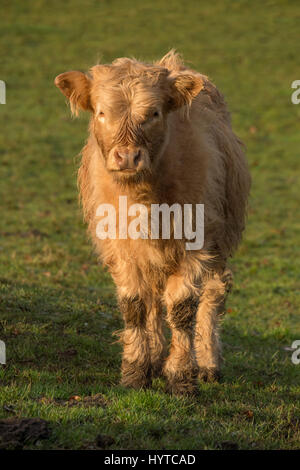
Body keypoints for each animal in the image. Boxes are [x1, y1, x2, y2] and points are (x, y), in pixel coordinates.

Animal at [54, 51, 251, 394]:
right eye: (102, 112)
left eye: (154, 113)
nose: (127, 157)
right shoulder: (120, 246)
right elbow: (134, 306)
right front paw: (135, 371)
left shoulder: (194, 244)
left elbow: (182, 309)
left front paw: (181, 376)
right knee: (154, 301)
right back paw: (156, 357)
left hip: (219, 241)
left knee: (214, 293)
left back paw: (208, 363)